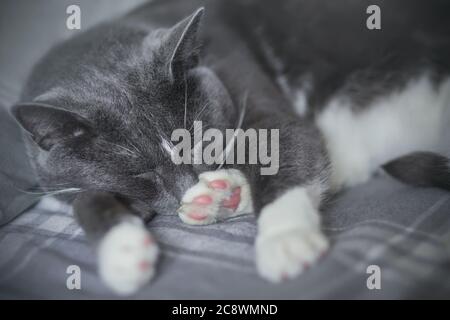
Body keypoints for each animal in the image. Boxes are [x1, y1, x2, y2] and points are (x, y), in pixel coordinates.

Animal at [9, 0, 450, 296]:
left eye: (201, 140)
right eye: (141, 172)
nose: (189, 187)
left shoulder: (251, 91)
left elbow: (286, 150)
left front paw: (285, 240)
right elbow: (86, 197)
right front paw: (124, 250)